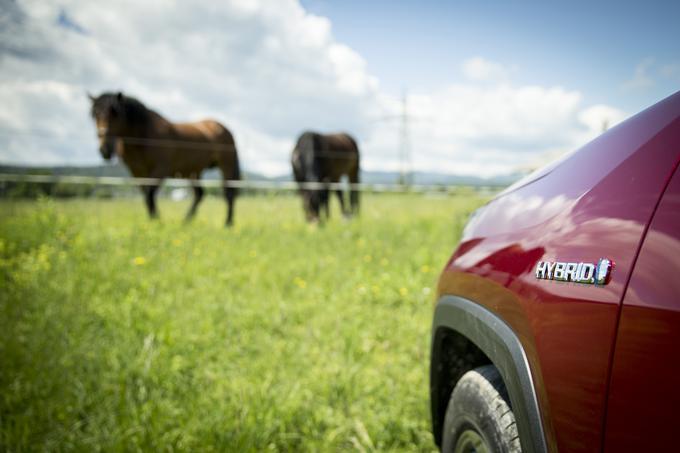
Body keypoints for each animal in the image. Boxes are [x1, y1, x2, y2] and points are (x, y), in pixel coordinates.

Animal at [89, 91, 240, 225]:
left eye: (115, 114)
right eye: (95, 115)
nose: (105, 150)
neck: (143, 137)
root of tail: (223, 127)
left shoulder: (161, 169)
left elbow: (150, 194)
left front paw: (157, 221)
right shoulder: (137, 171)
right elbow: (145, 194)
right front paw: (154, 219)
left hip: (226, 164)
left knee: (229, 192)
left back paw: (228, 223)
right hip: (194, 170)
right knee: (199, 194)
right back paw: (186, 220)